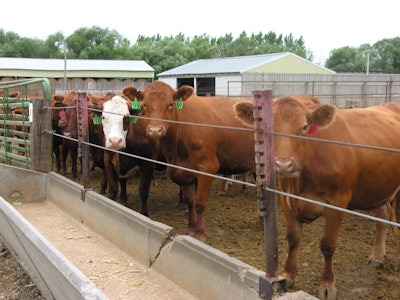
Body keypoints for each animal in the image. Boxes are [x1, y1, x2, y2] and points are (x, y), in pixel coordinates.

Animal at [120, 81, 255, 240]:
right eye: (143, 105)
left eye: (171, 104)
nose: (155, 130)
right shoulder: (184, 172)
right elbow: (190, 201)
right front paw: (191, 228)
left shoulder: (208, 168)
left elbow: (200, 203)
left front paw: (200, 233)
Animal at [233, 97, 400, 298]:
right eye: (268, 127)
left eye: (304, 126)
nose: (284, 165)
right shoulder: (286, 199)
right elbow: (293, 238)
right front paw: (288, 274)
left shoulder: (338, 202)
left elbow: (327, 245)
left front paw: (327, 285)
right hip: (377, 188)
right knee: (382, 217)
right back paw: (377, 256)